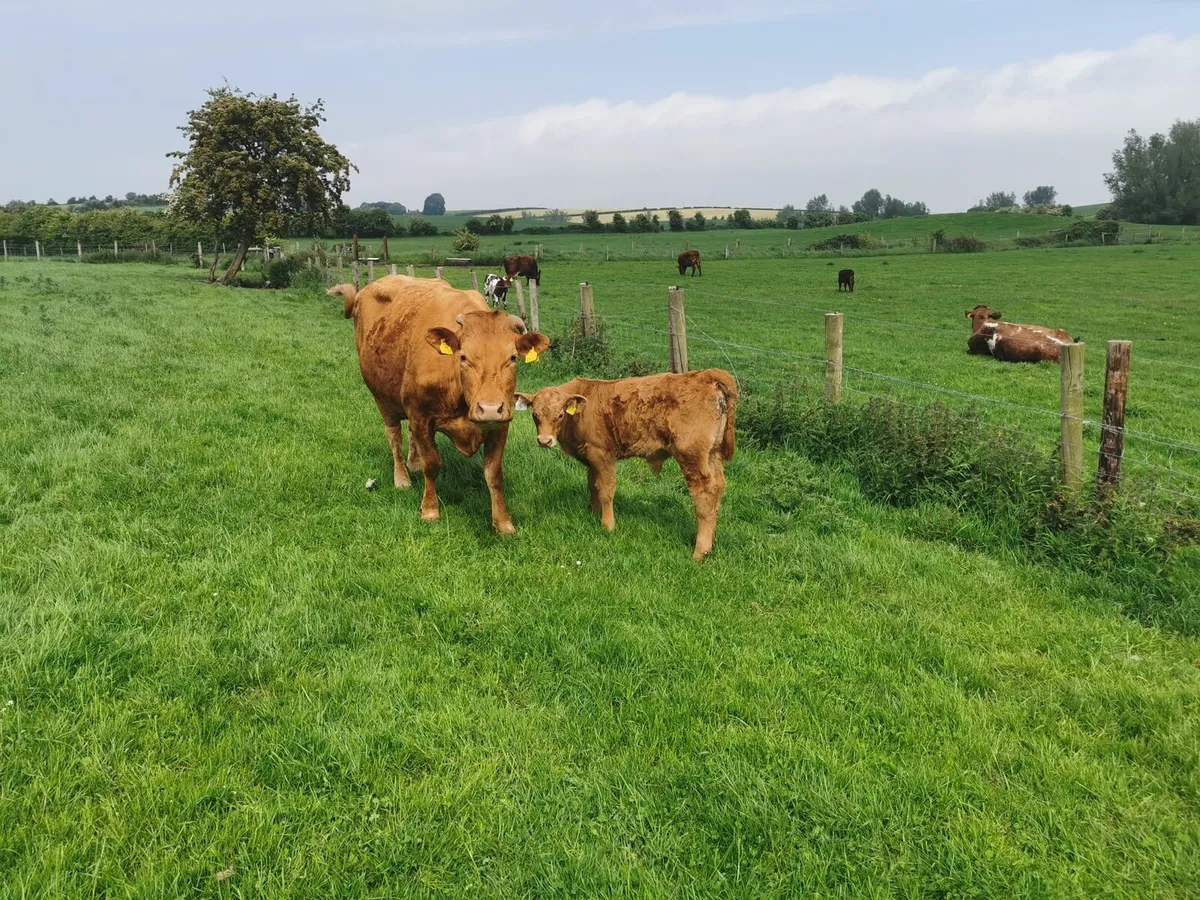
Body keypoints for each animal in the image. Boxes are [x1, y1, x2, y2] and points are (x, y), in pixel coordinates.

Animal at [328, 276, 549, 532]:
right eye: (463, 357)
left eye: (512, 358)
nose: (489, 409)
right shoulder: (421, 416)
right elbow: (432, 464)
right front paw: (430, 510)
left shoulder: (501, 424)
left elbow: (494, 474)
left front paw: (503, 523)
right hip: (382, 398)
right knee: (394, 436)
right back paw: (401, 477)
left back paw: (413, 463)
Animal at [516, 369, 737, 560]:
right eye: (535, 415)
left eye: (560, 415)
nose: (544, 441)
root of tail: (706, 375)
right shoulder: (591, 457)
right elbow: (593, 486)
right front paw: (592, 513)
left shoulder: (602, 454)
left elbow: (606, 490)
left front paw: (607, 525)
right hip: (712, 455)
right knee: (718, 488)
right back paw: (711, 541)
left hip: (692, 457)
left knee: (704, 495)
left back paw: (700, 550)